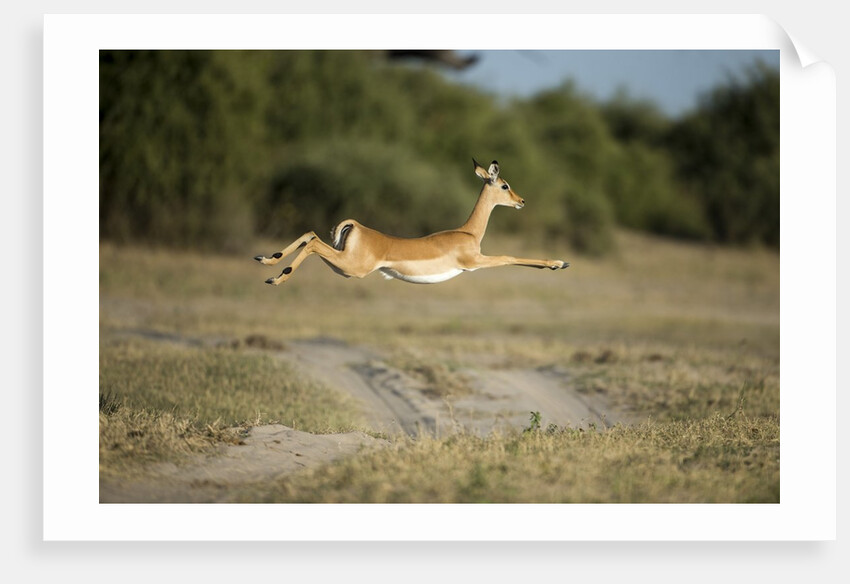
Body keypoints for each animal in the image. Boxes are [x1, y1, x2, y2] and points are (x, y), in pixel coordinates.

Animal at [254, 159, 569, 285]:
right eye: (504, 185)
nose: (522, 201)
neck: (468, 233)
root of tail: (357, 226)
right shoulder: (474, 261)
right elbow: (508, 257)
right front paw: (559, 263)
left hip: (341, 266)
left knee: (310, 234)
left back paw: (266, 260)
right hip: (351, 267)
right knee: (312, 243)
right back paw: (275, 277)